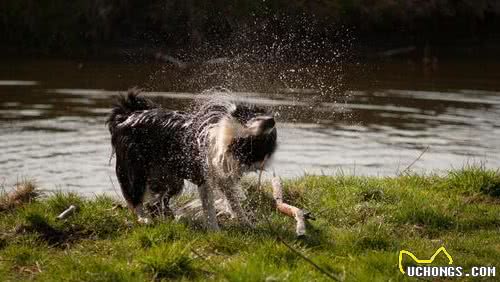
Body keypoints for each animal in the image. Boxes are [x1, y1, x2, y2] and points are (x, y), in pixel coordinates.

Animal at [106, 91, 278, 230]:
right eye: (255, 116)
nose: (272, 120)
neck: (230, 141)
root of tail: (126, 116)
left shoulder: (224, 178)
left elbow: (234, 203)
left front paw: (247, 224)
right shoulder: (204, 177)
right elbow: (209, 208)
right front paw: (215, 232)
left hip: (171, 179)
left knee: (157, 200)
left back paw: (168, 216)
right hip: (135, 168)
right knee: (134, 196)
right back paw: (144, 219)